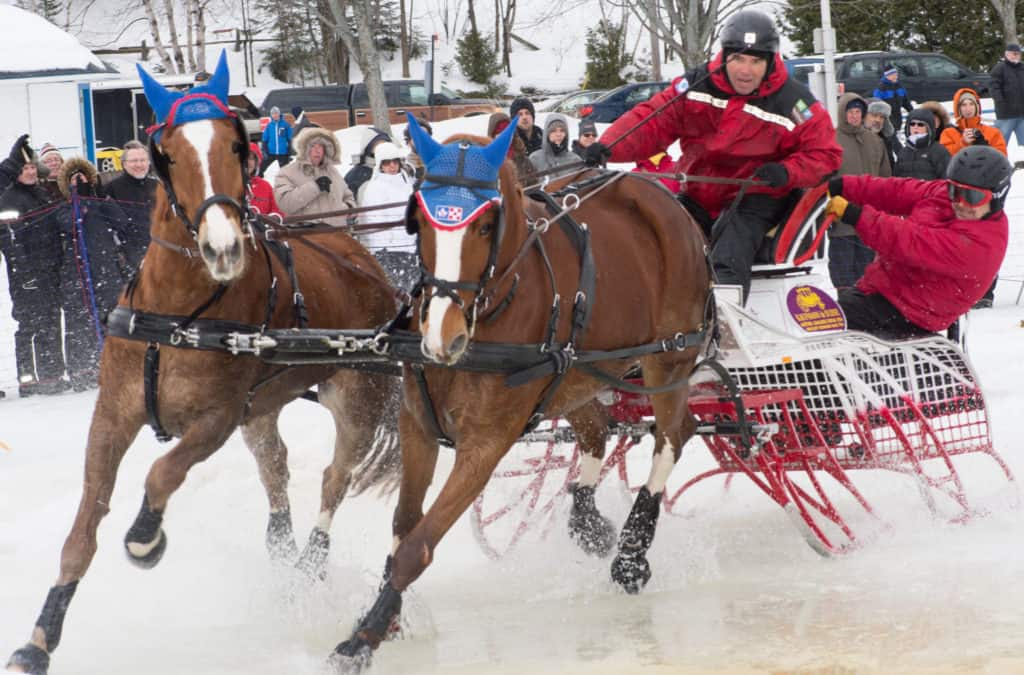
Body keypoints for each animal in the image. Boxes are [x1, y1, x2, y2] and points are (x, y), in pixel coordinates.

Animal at [8, 55, 399, 675]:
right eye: (166, 152)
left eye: (237, 146)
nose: (223, 247)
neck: (178, 315)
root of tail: (362, 256)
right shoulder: (111, 417)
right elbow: (82, 531)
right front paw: (40, 638)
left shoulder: (215, 420)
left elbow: (161, 474)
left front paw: (146, 537)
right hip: (262, 406)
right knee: (275, 468)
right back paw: (281, 549)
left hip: (356, 395)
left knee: (335, 477)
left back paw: (310, 558)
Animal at [327, 120, 712, 671]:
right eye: (419, 219)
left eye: (486, 225)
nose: (442, 336)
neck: (492, 312)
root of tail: (661, 195)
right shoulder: (417, 424)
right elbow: (403, 525)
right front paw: (386, 614)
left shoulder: (485, 444)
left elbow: (418, 545)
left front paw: (364, 636)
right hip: (578, 372)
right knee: (599, 430)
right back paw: (588, 521)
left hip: (670, 358)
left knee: (674, 434)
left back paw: (632, 552)